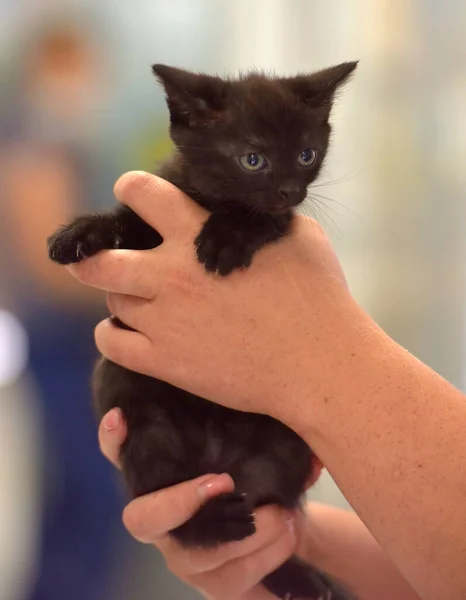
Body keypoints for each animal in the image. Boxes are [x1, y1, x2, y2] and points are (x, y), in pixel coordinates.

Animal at [47, 62, 358, 600]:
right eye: (253, 159)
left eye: (306, 155)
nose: (290, 191)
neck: (208, 199)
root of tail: (219, 464)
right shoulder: (150, 220)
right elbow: (123, 222)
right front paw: (78, 233)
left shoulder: (281, 222)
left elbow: (257, 218)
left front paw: (225, 238)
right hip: (143, 418)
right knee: (173, 508)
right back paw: (216, 524)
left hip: (285, 445)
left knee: (266, 521)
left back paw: (295, 574)